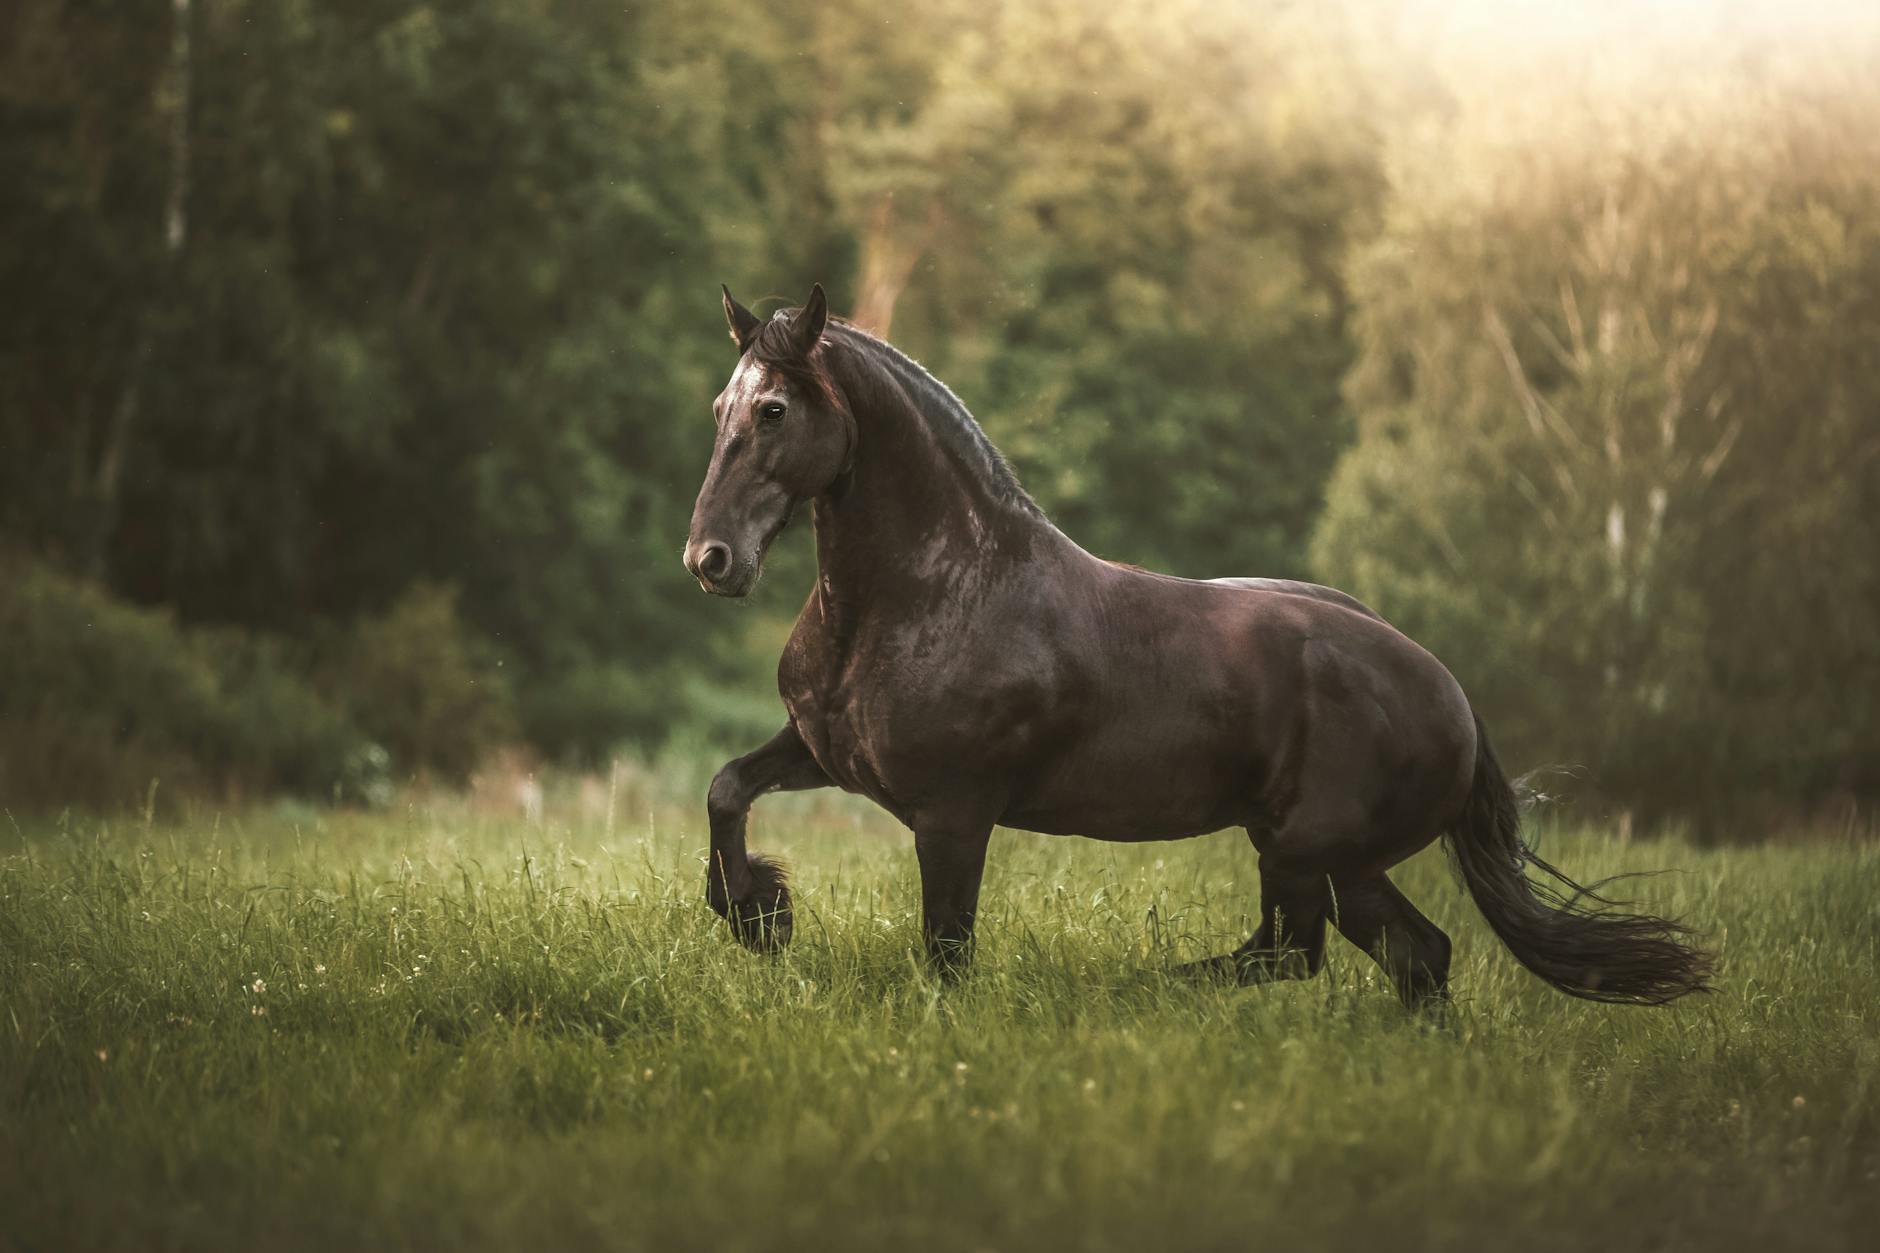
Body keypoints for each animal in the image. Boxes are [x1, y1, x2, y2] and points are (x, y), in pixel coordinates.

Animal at [681, 283, 1712, 1008]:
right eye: (719, 409)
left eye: (773, 410)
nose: (711, 559)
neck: (931, 591)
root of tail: (1449, 690)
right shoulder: (823, 751)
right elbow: (727, 786)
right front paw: (759, 914)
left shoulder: (953, 814)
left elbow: (946, 953)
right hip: (1338, 861)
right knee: (1414, 956)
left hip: (1305, 852)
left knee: (1295, 951)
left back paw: (1140, 987)